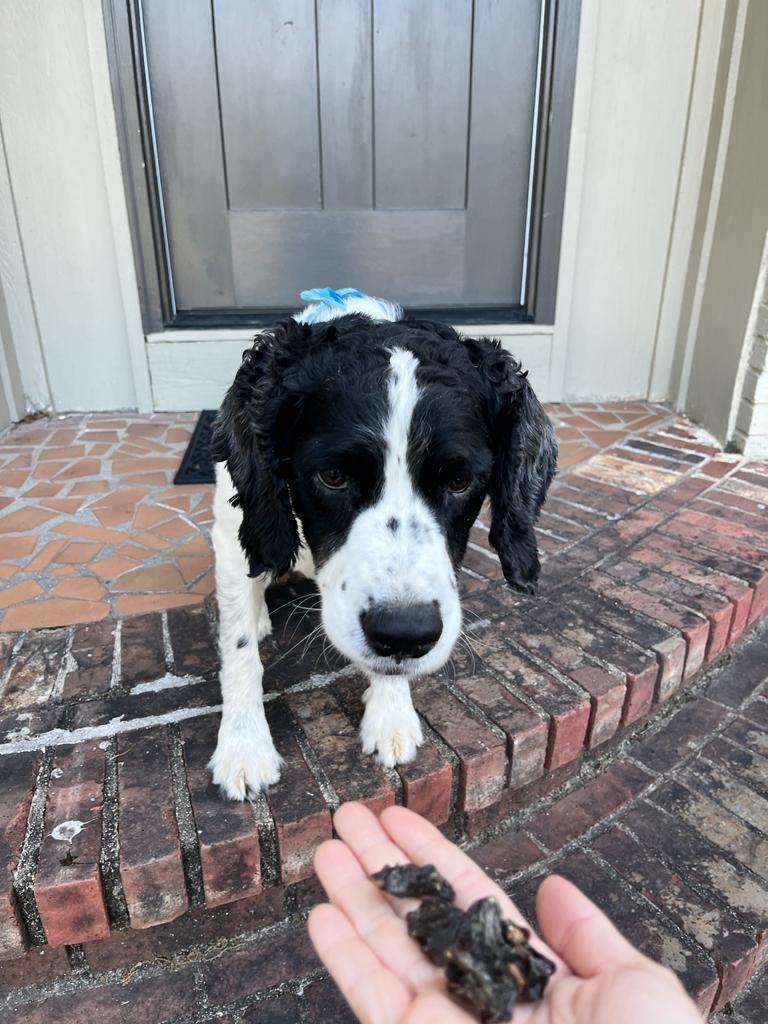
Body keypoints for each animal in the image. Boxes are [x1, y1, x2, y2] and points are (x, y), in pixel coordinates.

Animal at [205, 292, 552, 794]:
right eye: (332, 476)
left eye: (460, 481)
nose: (405, 633)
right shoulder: (233, 539)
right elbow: (239, 651)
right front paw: (243, 744)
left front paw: (390, 713)